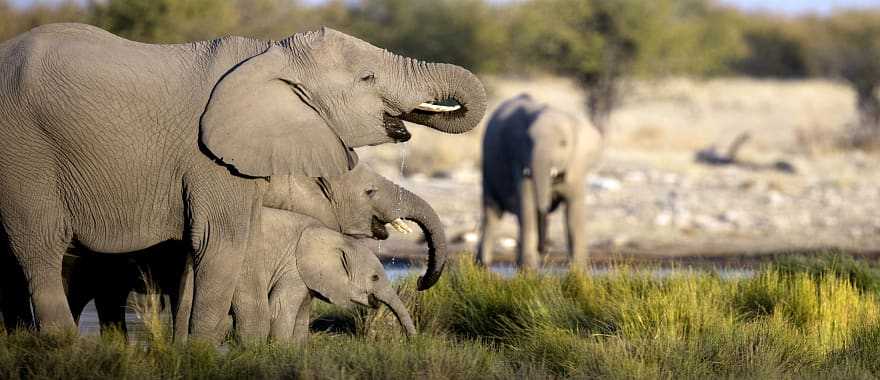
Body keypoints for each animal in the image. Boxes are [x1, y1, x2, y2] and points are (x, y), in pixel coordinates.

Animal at [0, 22, 484, 340]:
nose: (420, 281)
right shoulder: (208, 159)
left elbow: (201, 254)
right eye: (367, 78)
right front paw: (204, 356)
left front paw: (187, 351)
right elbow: (222, 242)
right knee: (40, 247)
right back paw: (64, 349)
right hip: (24, 153)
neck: (270, 55)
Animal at [478, 93, 600, 268]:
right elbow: (528, 205)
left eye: (563, 143)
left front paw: (578, 270)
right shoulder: (519, 157)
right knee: (492, 214)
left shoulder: (576, 165)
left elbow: (573, 214)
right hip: (487, 168)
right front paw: (528, 270)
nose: (545, 247)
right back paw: (482, 265)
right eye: (529, 142)